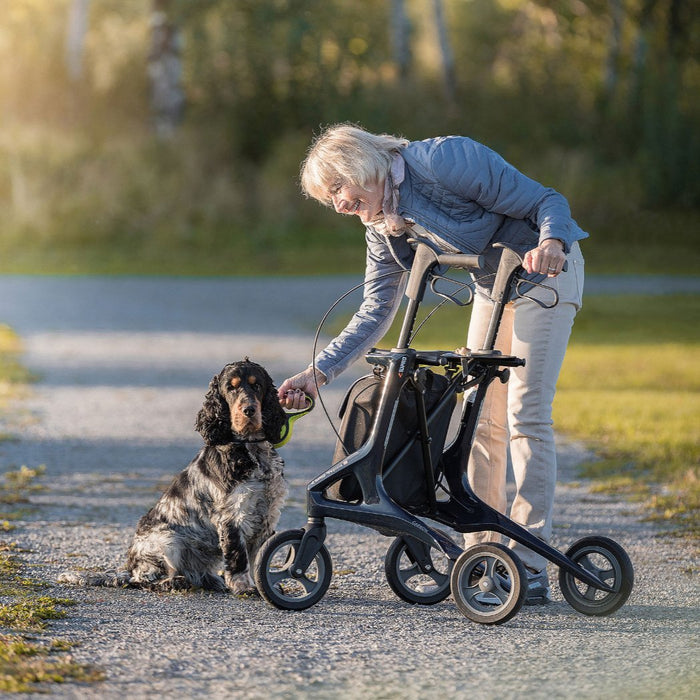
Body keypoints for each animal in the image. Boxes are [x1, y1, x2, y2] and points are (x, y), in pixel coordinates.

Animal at [59, 358, 288, 592]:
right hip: (167, 540)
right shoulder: (233, 516)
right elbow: (238, 557)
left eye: (256, 385)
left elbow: (258, 557)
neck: (251, 449)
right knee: (145, 580)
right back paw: (177, 581)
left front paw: (261, 586)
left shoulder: (267, 514)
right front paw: (244, 587)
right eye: (230, 388)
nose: (249, 410)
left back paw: (210, 580)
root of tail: (129, 569)